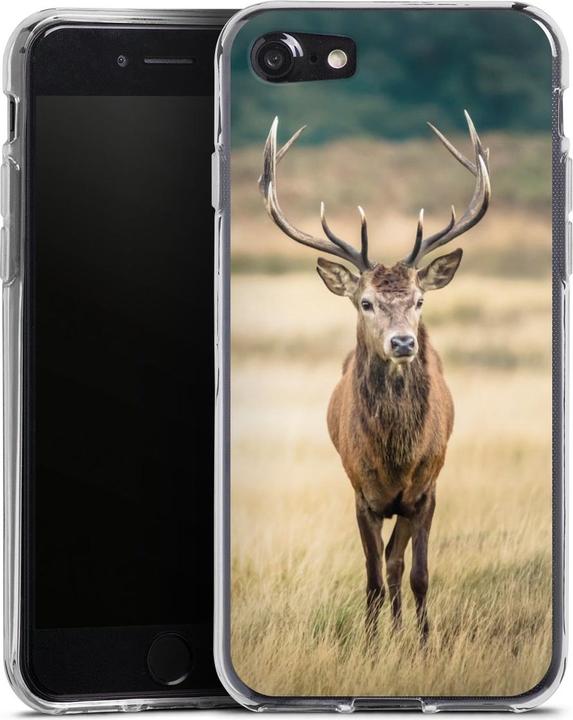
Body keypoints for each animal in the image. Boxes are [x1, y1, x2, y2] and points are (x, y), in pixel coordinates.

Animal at [258, 111, 491, 641]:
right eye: (365, 302)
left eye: (420, 300)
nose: (403, 342)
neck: (395, 458)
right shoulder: (361, 494)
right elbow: (371, 578)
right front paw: (369, 642)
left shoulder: (425, 490)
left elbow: (416, 572)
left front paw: (422, 643)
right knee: (384, 565)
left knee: (397, 562)